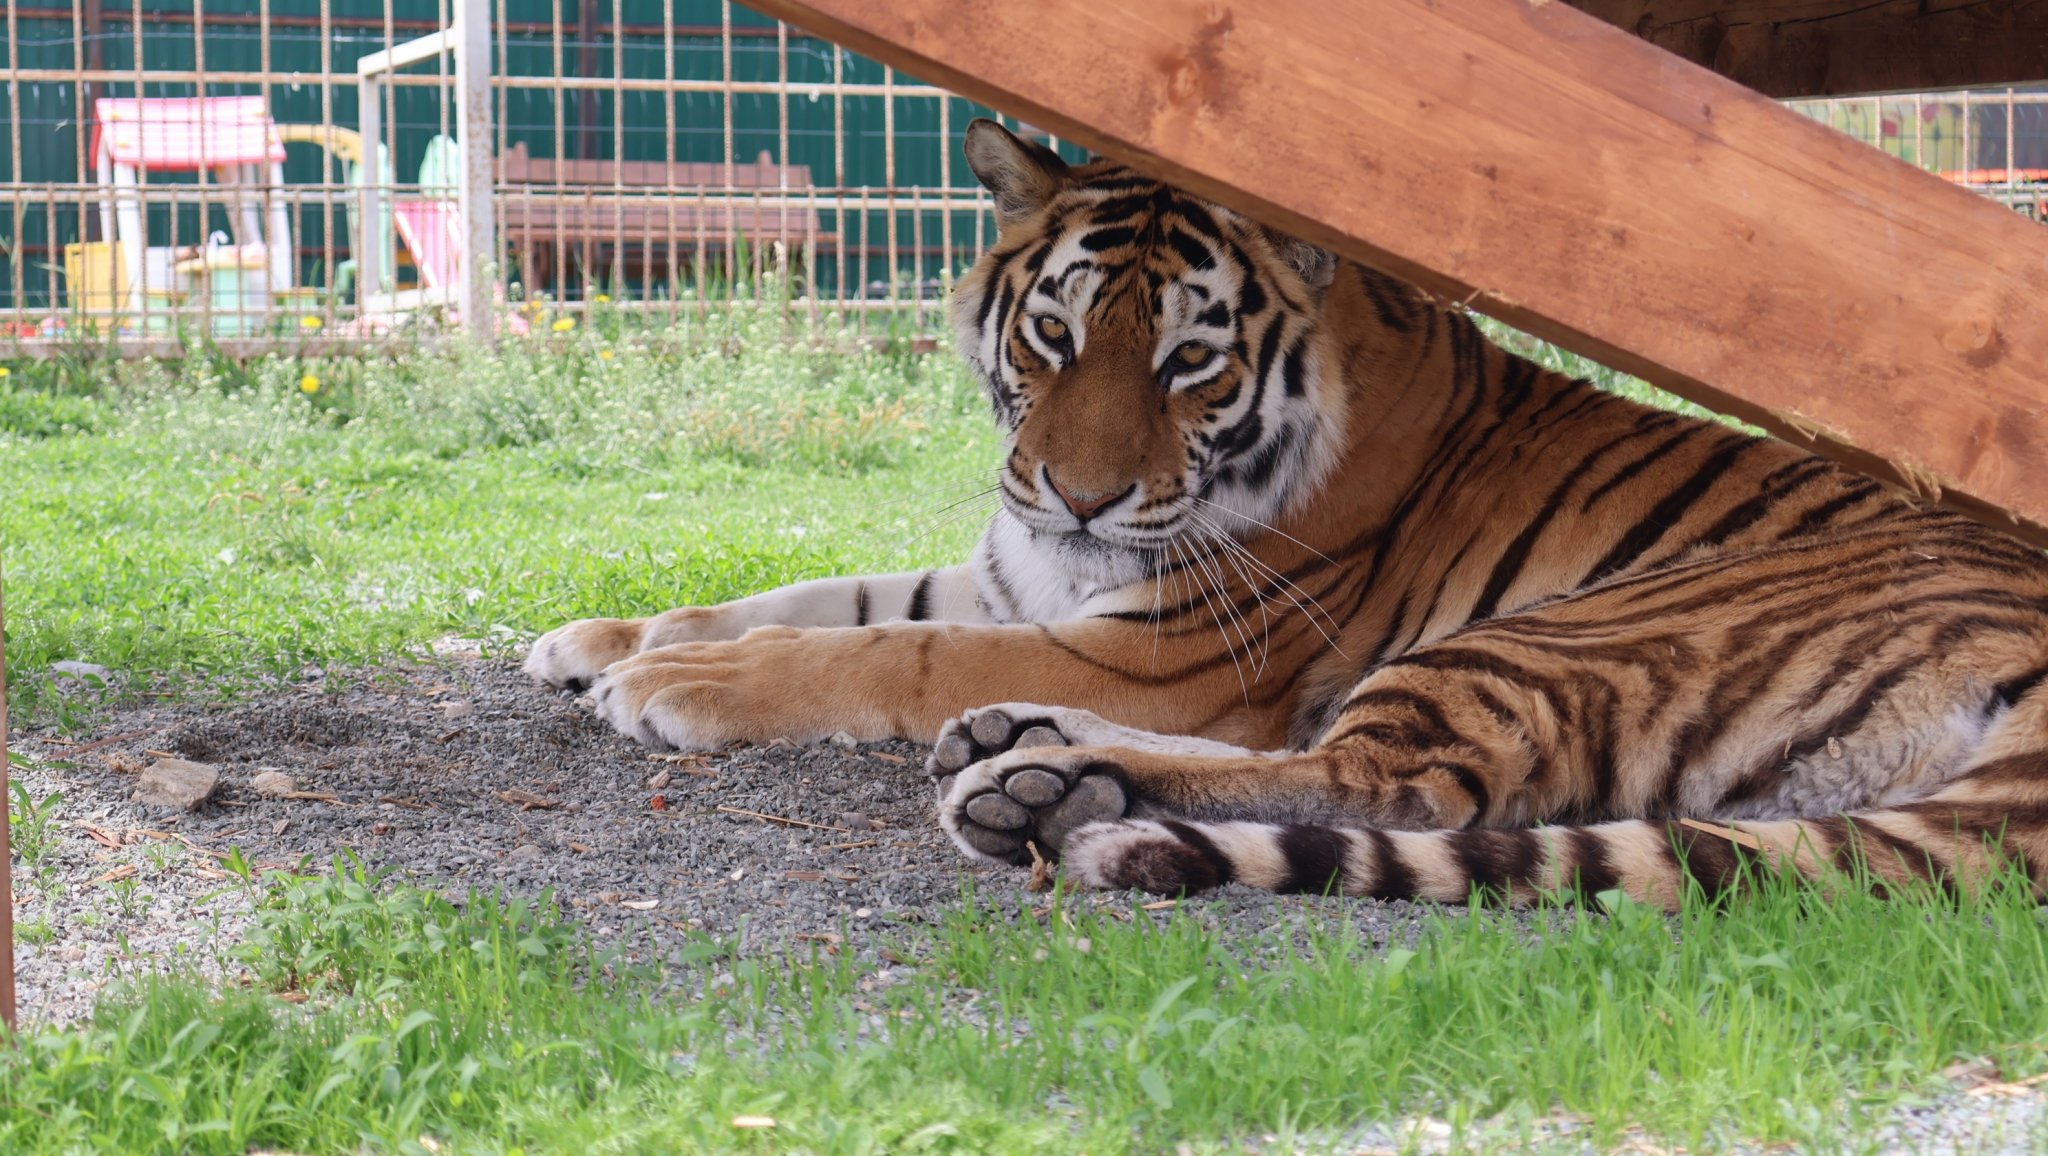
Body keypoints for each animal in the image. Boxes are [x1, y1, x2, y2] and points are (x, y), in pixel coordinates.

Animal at [525, 118, 2048, 909]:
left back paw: (1042, 781)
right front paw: (594, 640)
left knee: (1393, 782)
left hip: (1572, 628)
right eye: (1052, 335)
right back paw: (1031, 758)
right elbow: (813, 597)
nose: (1080, 492)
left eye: (1189, 361)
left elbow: (880, 647)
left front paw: (677, 684)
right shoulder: (1023, 574)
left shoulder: (1163, 646)